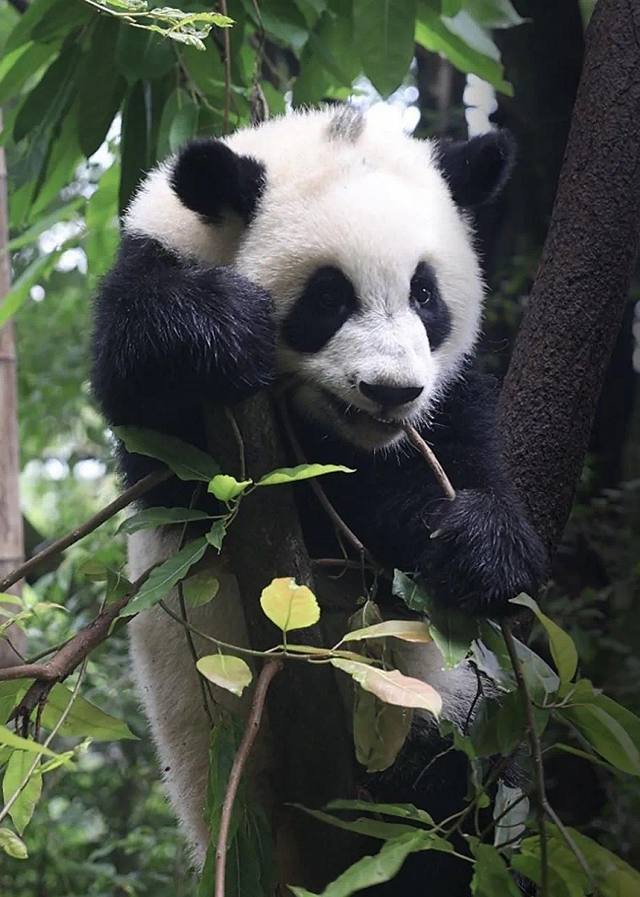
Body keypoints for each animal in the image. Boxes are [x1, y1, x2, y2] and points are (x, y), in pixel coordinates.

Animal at [92, 103, 548, 888]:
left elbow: (452, 473)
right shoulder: (159, 271)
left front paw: (479, 546)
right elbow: (150, 393)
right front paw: (220, 325)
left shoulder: (444, 401)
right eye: (329, 297)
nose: (390, 391)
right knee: (431, 801)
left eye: (424, 293)